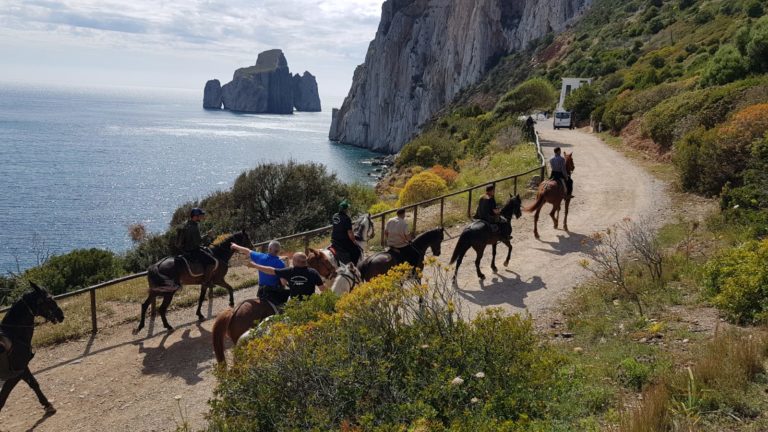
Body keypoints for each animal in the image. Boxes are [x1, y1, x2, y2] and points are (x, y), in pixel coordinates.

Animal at [0, 284, 64, 416]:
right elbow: (2, 398)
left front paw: (48, 405)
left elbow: (33, 383)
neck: (14, 336)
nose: (61, 315)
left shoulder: (23, 368)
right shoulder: (16, 373)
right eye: (49, 299)